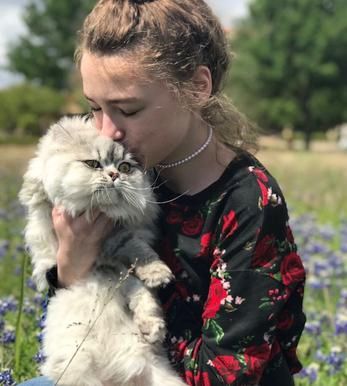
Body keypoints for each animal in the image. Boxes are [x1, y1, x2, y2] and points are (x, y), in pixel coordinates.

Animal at [19, 116, 188, 386]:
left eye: (125, 167)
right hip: (80, 372)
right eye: (93, 164)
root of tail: (119, 377)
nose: (114, 175)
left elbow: (141, 271)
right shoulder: (104, 249)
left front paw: (156, 281)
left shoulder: (118, 256)